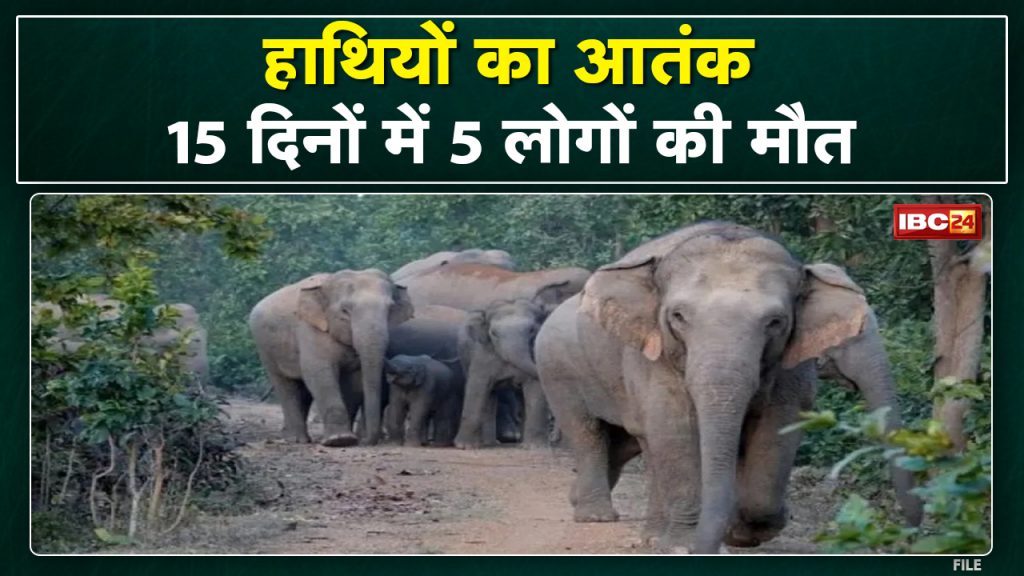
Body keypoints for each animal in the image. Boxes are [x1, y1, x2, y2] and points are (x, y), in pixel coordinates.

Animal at [248, 269, 413, 447]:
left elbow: (353, 381)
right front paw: (339, 440)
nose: (366, 441)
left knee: (303, 389)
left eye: (391, 308)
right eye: (345, 310)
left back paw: (299, 437)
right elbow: (319, 373)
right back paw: (296, 439)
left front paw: (348, 439)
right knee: (285, 385)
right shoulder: (310, 330)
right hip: (265, 347)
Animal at [454, 299, 551, 449]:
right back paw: (488, 443)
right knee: (490, 396)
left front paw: (535, 447)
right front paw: (464, 446)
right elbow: (477, 387)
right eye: (493, 333)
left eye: (532, 330)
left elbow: (535, 388)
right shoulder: (482, 353)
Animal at [535, 222, 922, 554]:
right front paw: (686, 546)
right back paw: (597, 516)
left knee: (633, 441)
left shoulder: (791, 361)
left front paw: (745, 531)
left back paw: (644, 532)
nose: (910, 532)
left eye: (775, 322)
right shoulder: (651, 352)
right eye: (678, 317)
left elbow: (778, 425)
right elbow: (675, 425)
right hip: (556, 369)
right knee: (587, 431)